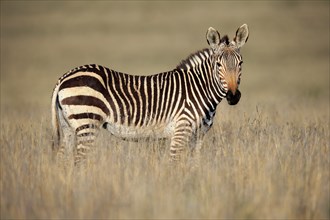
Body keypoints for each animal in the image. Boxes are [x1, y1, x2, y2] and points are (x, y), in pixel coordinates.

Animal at [51, 24, 248, 165]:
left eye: (241, 63)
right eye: (218, 65)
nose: (233, 96)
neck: (199, 88)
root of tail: (64, 77)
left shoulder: (199, 135)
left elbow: (194, 164)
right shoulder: (181, 130)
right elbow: (175, 164)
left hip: (68, 126)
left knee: (62, 159)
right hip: (87, 123)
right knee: (78, 161)